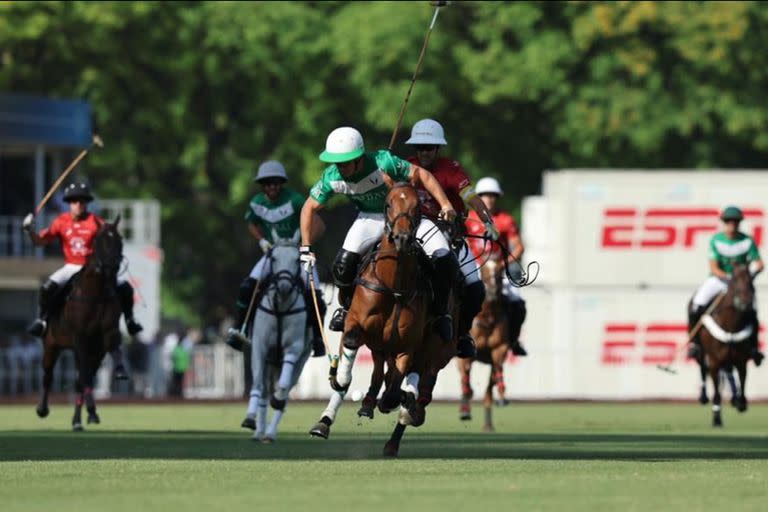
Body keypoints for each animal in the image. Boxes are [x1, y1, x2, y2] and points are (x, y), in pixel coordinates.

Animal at [456, 254, 510, 430]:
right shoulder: (468, 354)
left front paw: (503, 394)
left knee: (488, 391)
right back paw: (465, 408)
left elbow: (498, 370)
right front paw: (466, 405)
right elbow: (466, 377)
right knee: (463, 378)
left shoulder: (500, 348)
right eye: (484, 270)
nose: (492, 291)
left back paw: (488, 424)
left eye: (500, 270)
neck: (488, 318)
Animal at [700, 264, 752, 428]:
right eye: (734, 280)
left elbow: (742, 380)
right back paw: (703, 397)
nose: (746, 302)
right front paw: (716, 419)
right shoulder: (714, 362)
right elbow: (716, 392)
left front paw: (741, 403)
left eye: (751, 279)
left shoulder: (741, 360)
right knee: (702, 367)